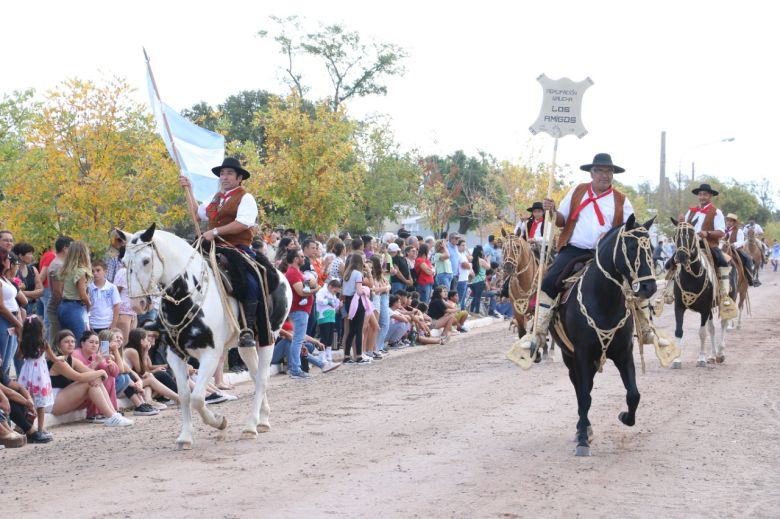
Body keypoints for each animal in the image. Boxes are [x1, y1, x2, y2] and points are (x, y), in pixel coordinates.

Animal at [119, 224, 292, 450]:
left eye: (146, 260)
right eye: (123, 261)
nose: (136, 304)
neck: (189, 297)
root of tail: (279, 274)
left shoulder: (210, 355)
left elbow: (198, 398)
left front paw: (219, 421)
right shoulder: (175, 355)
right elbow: (185, 396)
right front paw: (185, 436)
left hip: (268, 338)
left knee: (262, 378)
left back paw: (251, 426)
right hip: (244, 346)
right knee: (255, 376)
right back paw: (263, 420)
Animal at [548, 214, 660, 456]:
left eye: (652, 247)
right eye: (630, 247)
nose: (649, 286)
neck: (604, 298)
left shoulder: (624, 353)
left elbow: (633, 394)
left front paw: (626, 417)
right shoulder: (581, 354)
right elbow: (584, 396)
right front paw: (582, 440)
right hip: (569, 356)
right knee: (580, 388)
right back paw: (583, 429)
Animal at [672, 219, 736, 370]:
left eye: (691, 234)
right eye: (675, 235)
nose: (681, 256)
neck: (691, 277)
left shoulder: (704, 309)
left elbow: (702, 333)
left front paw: (701, 359)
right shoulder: (679, 307)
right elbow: (679, 331)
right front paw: (677, 360)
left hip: (727, 300)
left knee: (723, 324)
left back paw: (720, 353)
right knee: (712, 328)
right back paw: (712, 356)